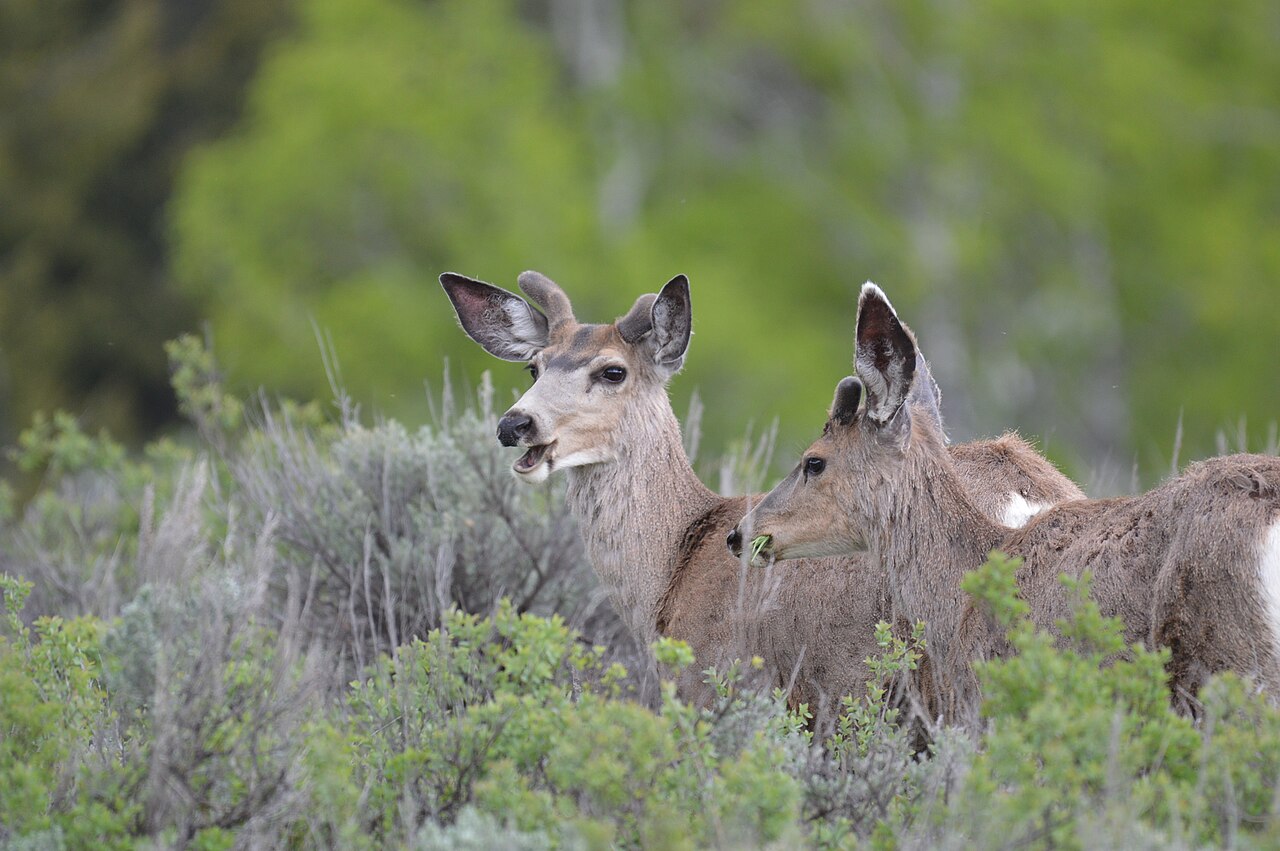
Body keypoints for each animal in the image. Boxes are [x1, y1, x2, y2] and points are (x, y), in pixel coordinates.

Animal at [440, 270, 1084, 720]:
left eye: (613, 371)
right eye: (534, 368)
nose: (515, 424)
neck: (672, 567)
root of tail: (1028, 494)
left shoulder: (716, 680)